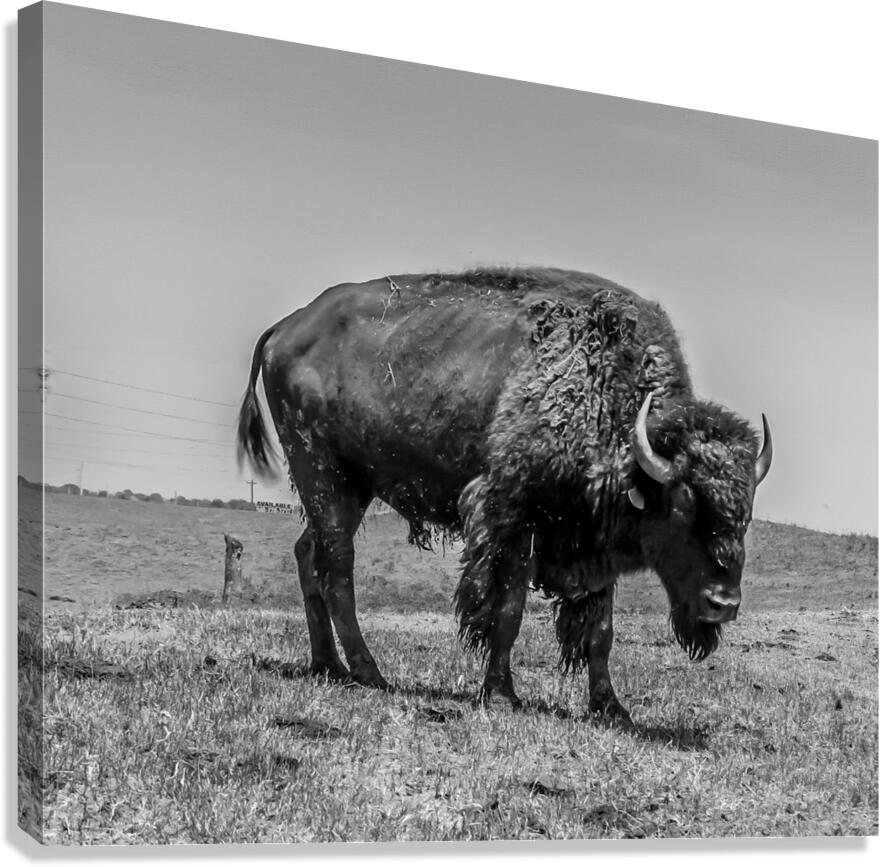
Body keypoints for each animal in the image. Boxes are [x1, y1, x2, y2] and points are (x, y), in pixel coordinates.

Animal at [237, 267, 771, 721]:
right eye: (683, 507)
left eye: (745, 514)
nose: (724, 603)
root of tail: (285, 326)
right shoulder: (515, 518)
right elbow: (507, 612)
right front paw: (501, 695)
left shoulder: (593, 544)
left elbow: (601, 631)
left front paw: (610, 707)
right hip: (322, 470)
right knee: (337, 566)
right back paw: (369, 673)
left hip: (349, 486)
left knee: (309, 553)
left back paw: (328, 666)